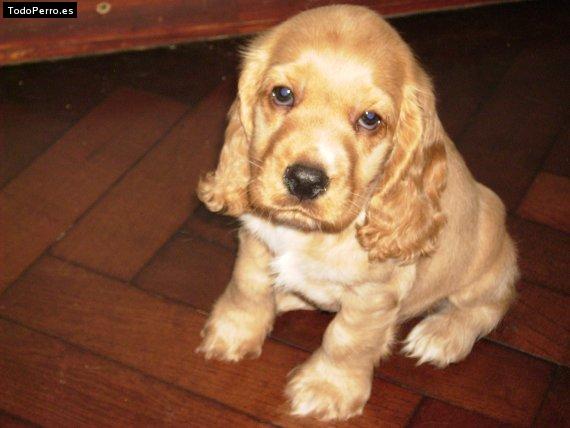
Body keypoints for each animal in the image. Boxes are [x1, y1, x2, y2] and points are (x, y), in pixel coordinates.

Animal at [196, 5, 518, 421]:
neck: (310, 234)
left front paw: (326, 390)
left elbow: (346, 339)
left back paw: (442, 335)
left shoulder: (373, 294)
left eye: (369, 119)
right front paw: (231, 333)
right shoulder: (256, 243)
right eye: (282, 94)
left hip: (487, 259)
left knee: (489, 305)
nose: (304, 181)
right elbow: (246, 288)